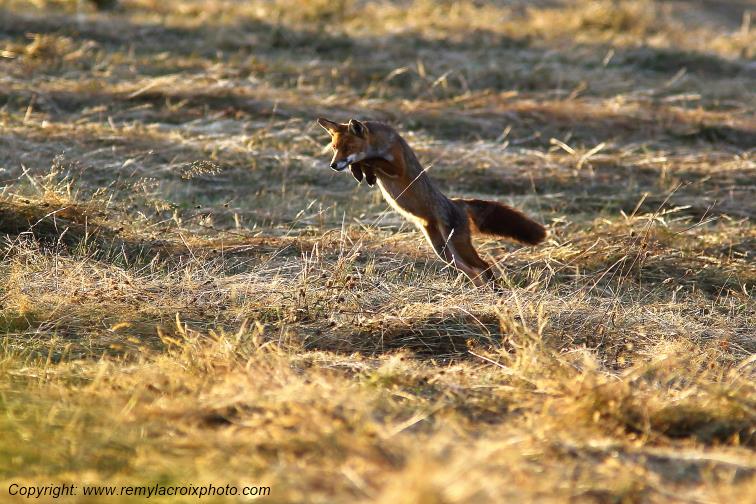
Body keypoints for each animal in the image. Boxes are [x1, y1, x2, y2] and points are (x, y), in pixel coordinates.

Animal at [317, 117, 546, 287]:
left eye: (348, 147)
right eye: (335, 148)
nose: (333, 165)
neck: (381, 143)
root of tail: (457, 202)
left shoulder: (398, 167)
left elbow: (371, 159)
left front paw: (362, 168)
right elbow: (366, 164)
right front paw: (360, 173)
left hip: (457, 245)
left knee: (484, 267)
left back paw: (495, 293)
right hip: (444, 251)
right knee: (472, 271)